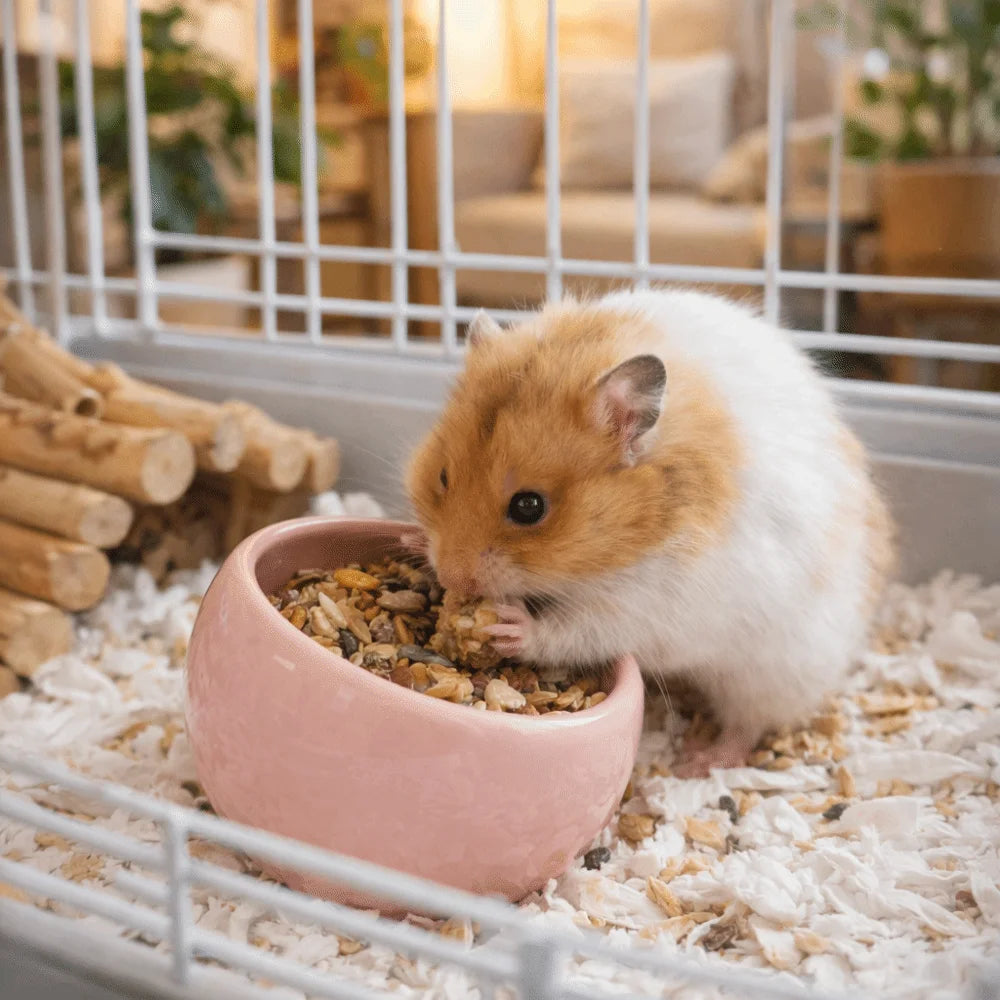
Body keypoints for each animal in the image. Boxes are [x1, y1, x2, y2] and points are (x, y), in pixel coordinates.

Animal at [406, 289, 895, 776]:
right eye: (444, 477)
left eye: (529, 506)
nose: (450, 578)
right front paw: (413, 541)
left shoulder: (651, 605)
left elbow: (578, 629)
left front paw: (509, 627)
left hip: (775, 673)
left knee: (749, 724)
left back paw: (697, 762)